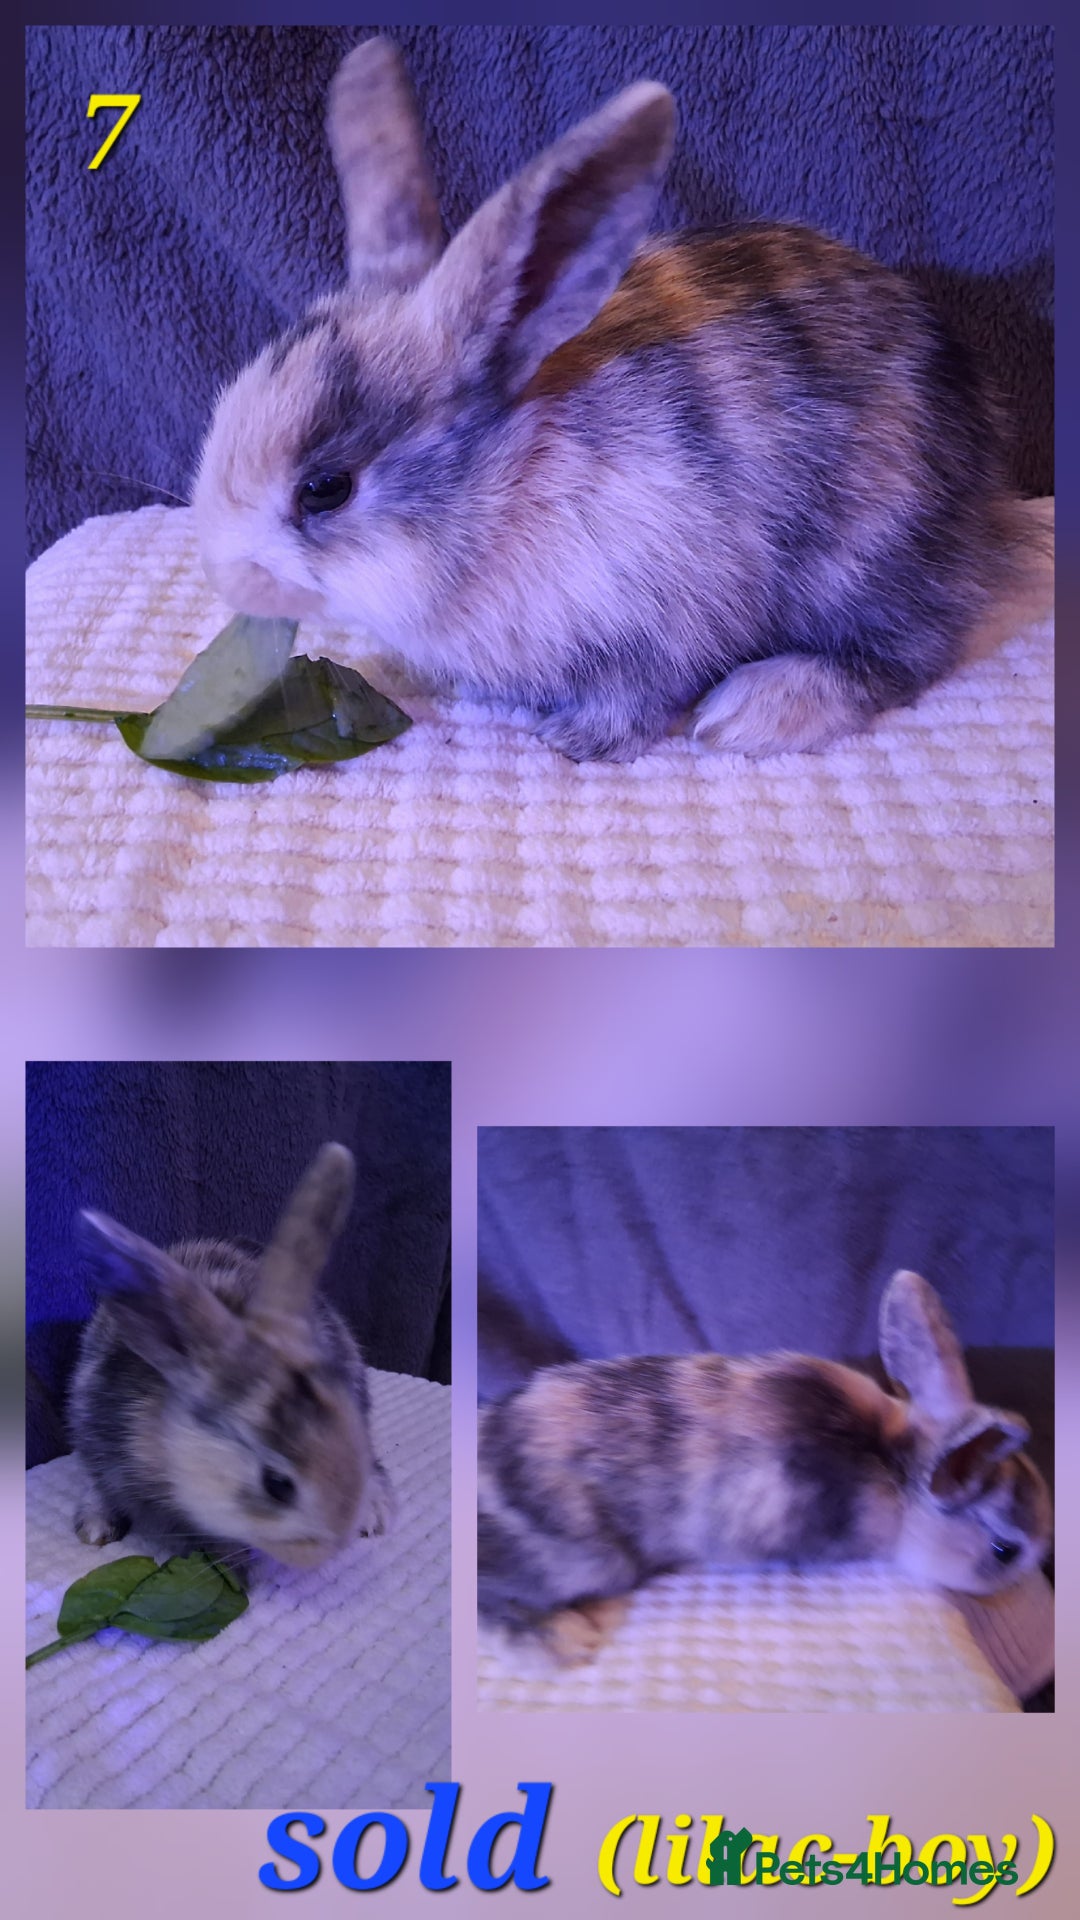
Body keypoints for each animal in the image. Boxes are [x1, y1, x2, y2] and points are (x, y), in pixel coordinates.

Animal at [192, 36, 1025, 765]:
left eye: (325, 488)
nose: (229, 576)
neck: (505, 489)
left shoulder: (657, 622)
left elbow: (634, 696)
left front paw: (577, 741)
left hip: (865, 554)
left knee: (911, 648)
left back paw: (753, 712)